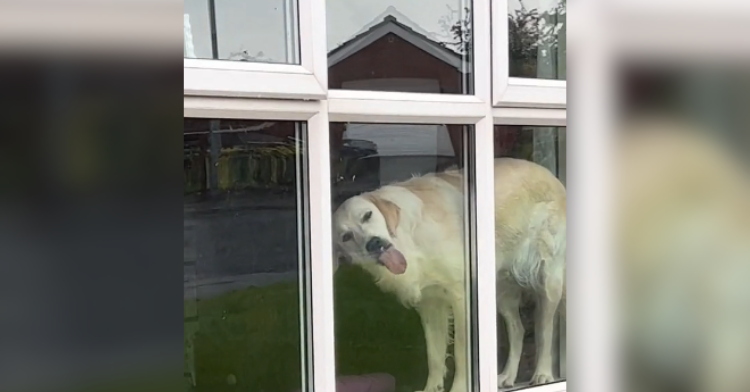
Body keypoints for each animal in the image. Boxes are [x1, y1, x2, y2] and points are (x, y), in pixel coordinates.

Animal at [332, 158, 568, 390]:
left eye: (367, 215)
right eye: (346, 237)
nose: (374, 243)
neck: (411, 239)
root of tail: (550, 175)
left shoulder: (462, 299)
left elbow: (461, 354)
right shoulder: (430, 304)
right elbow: (434, 355)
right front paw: (432, 387)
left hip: (548, 281)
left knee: (545, 330)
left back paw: (543, 374)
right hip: (501, 291)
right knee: (518, 330)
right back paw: (508, 376)